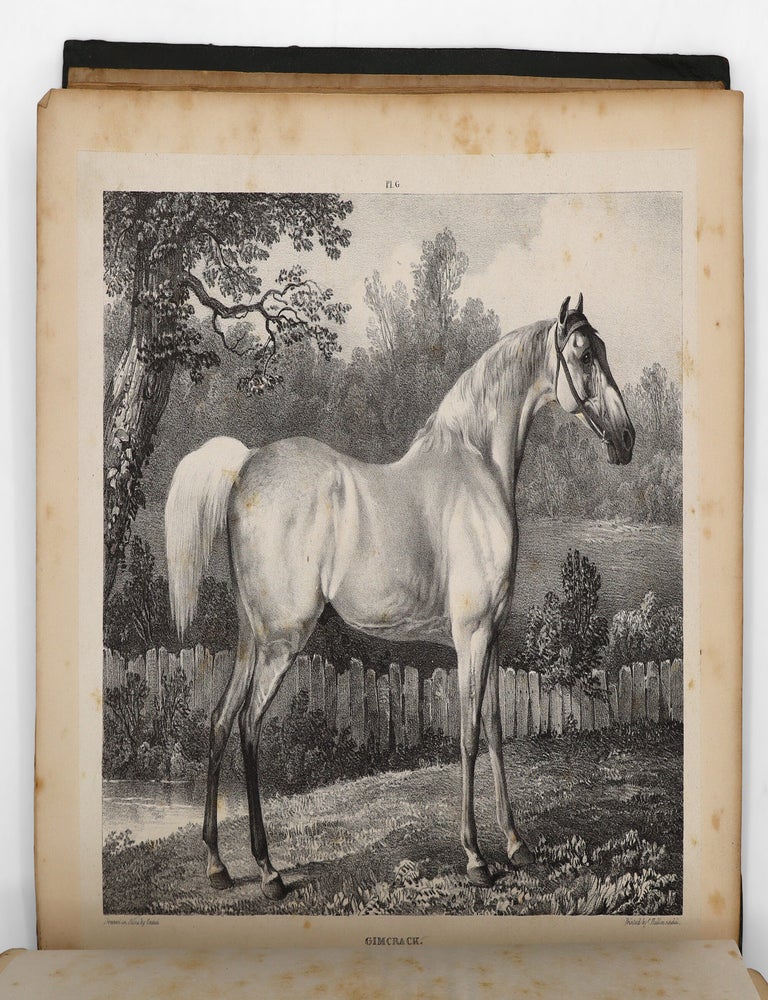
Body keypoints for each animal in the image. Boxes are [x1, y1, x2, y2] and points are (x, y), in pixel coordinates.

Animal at [165, 293, 635, 900]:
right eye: (582, 354)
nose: (626, 440)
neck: (476, 468)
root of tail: (244, 464)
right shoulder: (470, 635)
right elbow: (467, 736)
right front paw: (476, 857)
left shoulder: (493, 634)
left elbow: (496, 732)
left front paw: (517, 845)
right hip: (281, 641)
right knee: (248, 727)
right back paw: (268, 870)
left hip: (253, 637)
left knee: (220, 723)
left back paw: (217, 865)